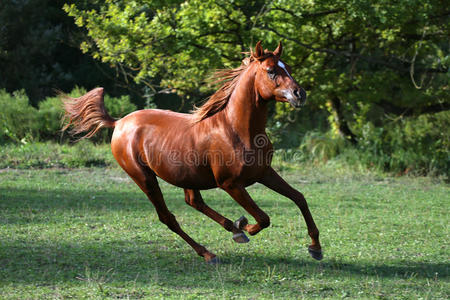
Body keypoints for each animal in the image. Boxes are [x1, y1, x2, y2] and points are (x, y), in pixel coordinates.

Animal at [64, 41, 324, 262]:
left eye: (288, 68)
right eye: (271, 71)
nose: (300, 94)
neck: (236, 129)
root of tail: (118, 123)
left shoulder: (264, 173)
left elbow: (299, 198)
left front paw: (315, 248)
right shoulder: (230, 184)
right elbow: (263, 218)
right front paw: (246, 226)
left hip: (187, 176)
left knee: (193, 202)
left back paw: (233, 230)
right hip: (145, 178)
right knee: (168, 217)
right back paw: (209, 252)